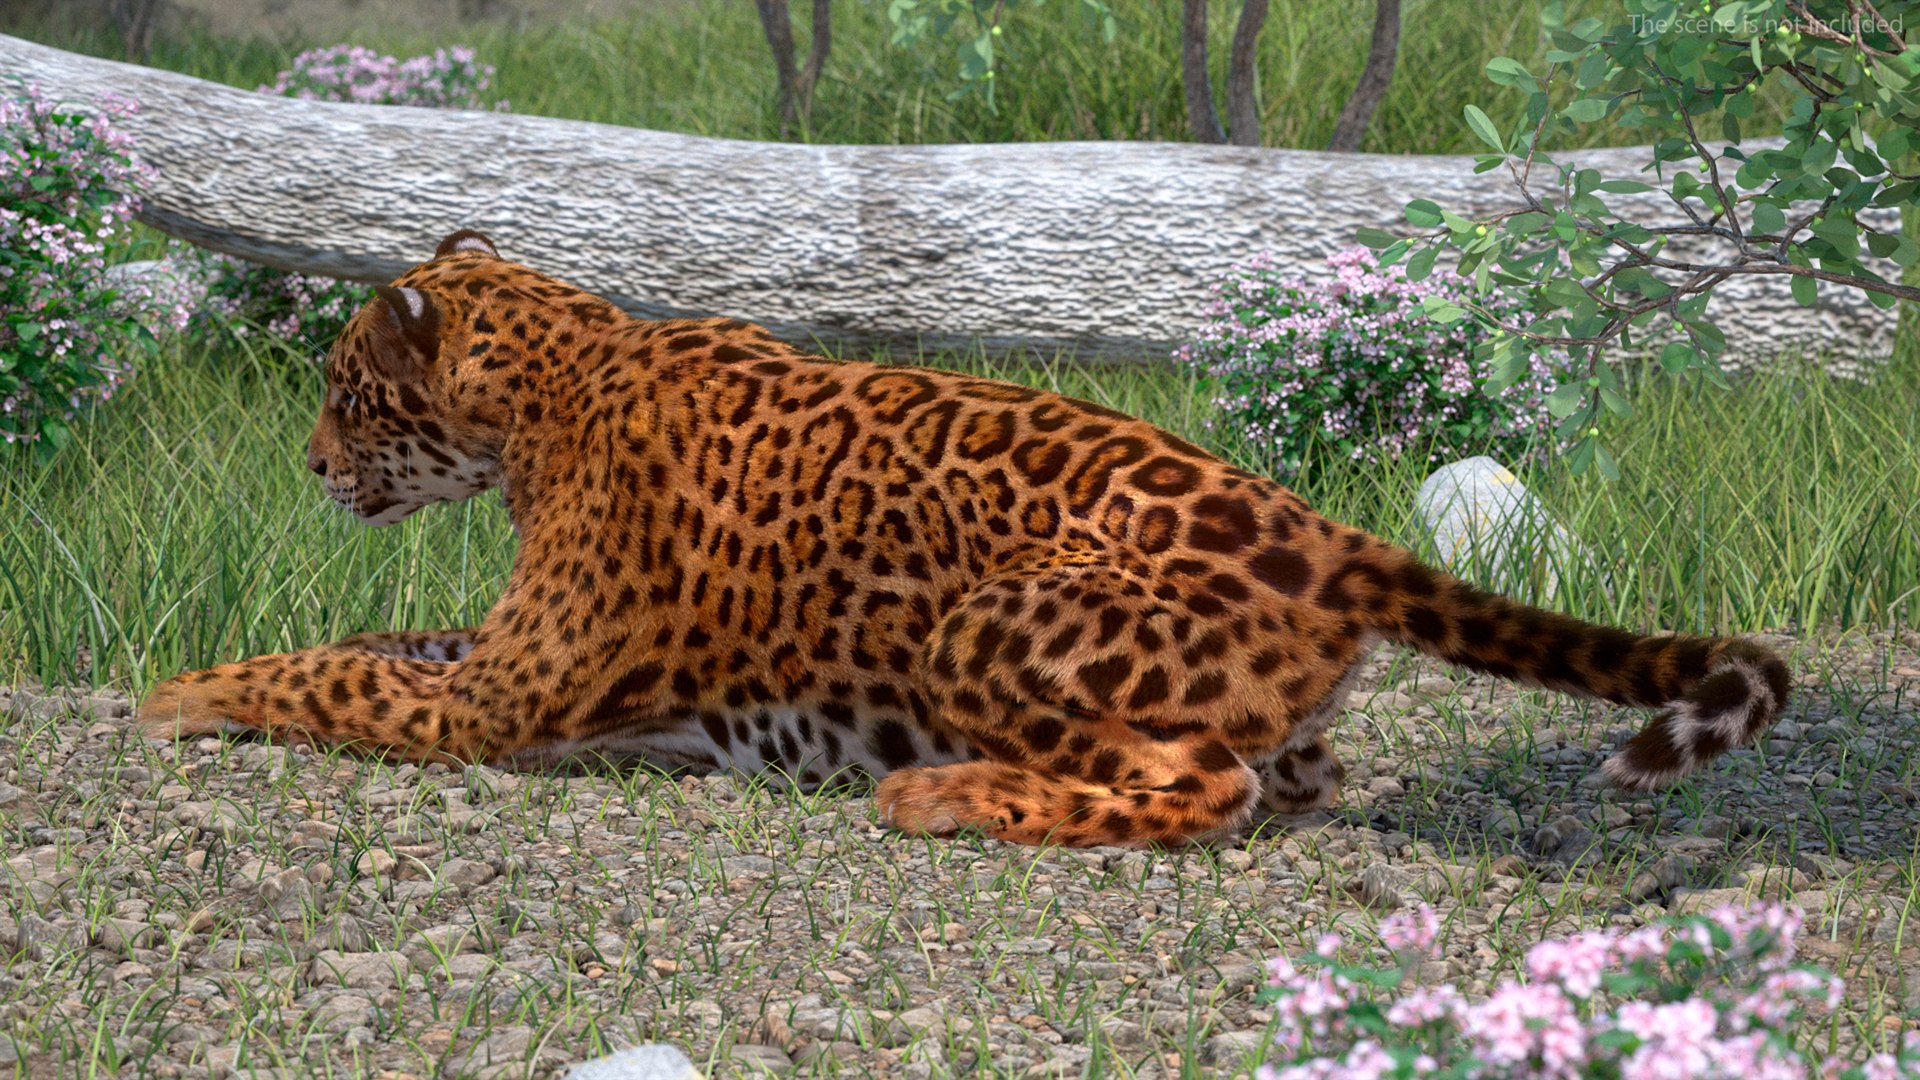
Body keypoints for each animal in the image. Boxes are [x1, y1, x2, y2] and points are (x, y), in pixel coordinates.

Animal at [137, 229, 1792, 848]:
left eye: (345, 392)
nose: (310, 462)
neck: (559, 373)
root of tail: (1328, 531)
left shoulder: (497, 697)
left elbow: (333, 677)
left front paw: (185, 693)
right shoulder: (499, 666)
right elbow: (366, 641)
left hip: (981, 623)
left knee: (1211, 789)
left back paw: (950, 794)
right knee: (1290, 773)